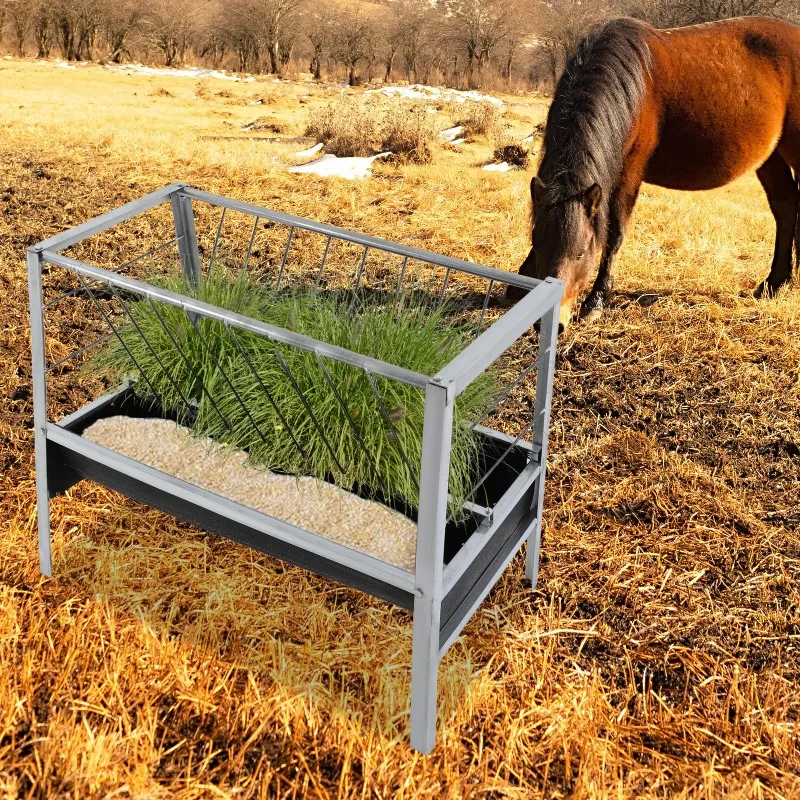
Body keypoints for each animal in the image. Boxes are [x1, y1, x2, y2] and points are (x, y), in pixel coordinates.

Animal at [511, 15, 800, 330]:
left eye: (581, 253)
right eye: (538, 245)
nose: (549, 323)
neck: (634, 88)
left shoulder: (629, 173)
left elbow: (615, 232)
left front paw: (596, 301)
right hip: (771, 158)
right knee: (786, 208)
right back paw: (775, 283)